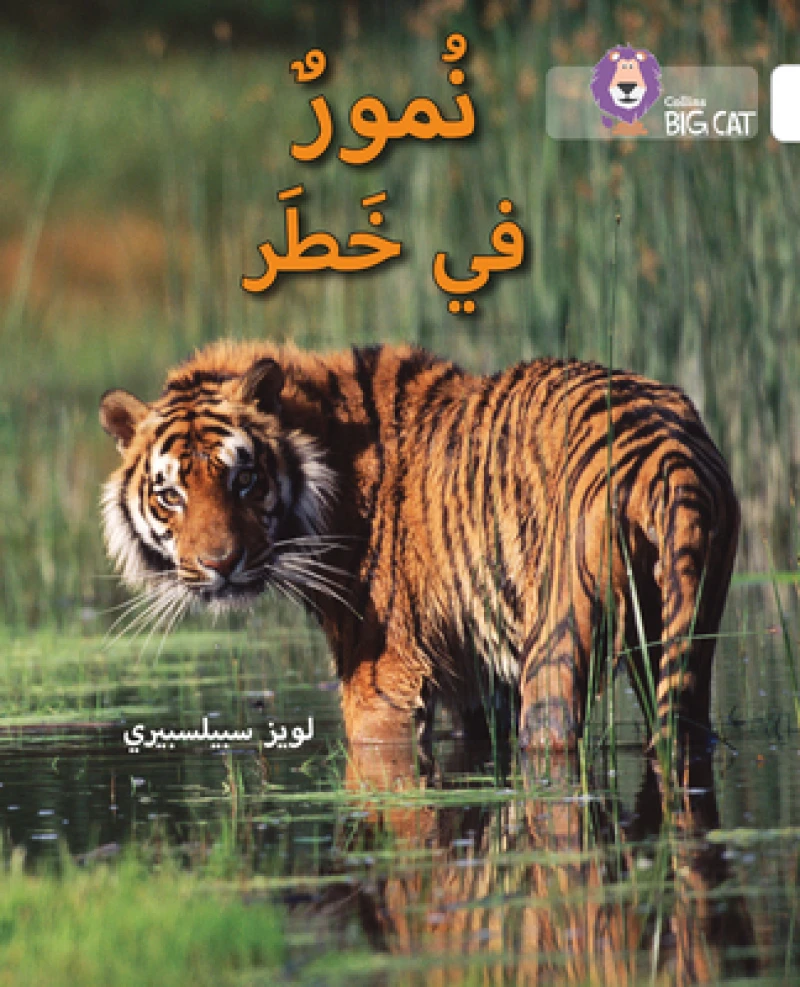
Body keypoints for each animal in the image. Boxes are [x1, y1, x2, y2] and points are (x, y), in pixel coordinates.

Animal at [99, 341, 739, 761]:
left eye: (244, 479)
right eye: (171, 495)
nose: (221, 565)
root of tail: (664, 451)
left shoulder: (382, 676)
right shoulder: (477, 678)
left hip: (559, 638)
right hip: (684, 630)